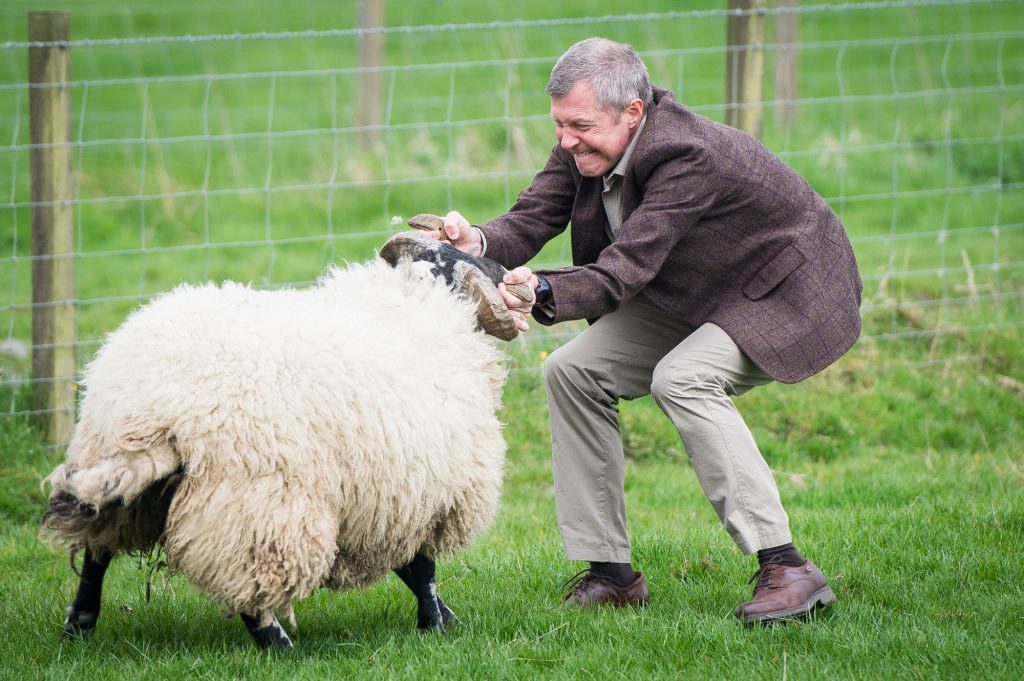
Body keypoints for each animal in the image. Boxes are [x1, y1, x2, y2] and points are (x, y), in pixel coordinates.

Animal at [38, 238, 512, 647]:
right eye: (460, 255)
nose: (506, 272)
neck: (418, 307)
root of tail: (157, 411)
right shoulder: (428, 496)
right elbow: (423, 570)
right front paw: (435, 624)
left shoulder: (383, 499)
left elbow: (411, 569)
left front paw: (446, 619)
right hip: (259, 505)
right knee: (251, 586)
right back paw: (279, 645)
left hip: (118, 476)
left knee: (95, 555)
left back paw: (78, 626)